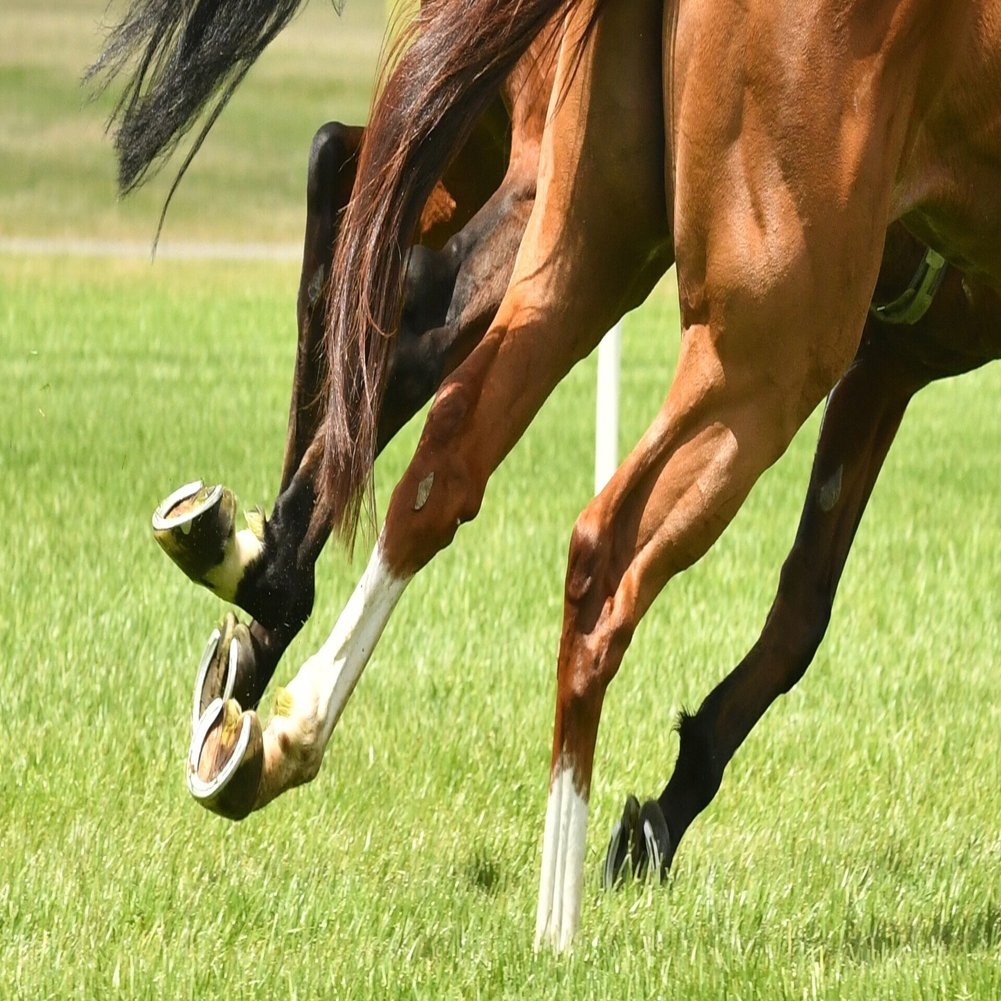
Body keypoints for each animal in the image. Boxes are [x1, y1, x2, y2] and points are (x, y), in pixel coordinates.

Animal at [99, 0, 1001, 951]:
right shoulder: (866, 350)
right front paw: (657, 820)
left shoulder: (891, 359)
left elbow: (802, 607)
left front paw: (662, 812)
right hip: (768, 339)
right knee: (596, 541)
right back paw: (555, 917)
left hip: (594, 248)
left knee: (433, 414)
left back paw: (268, 693)